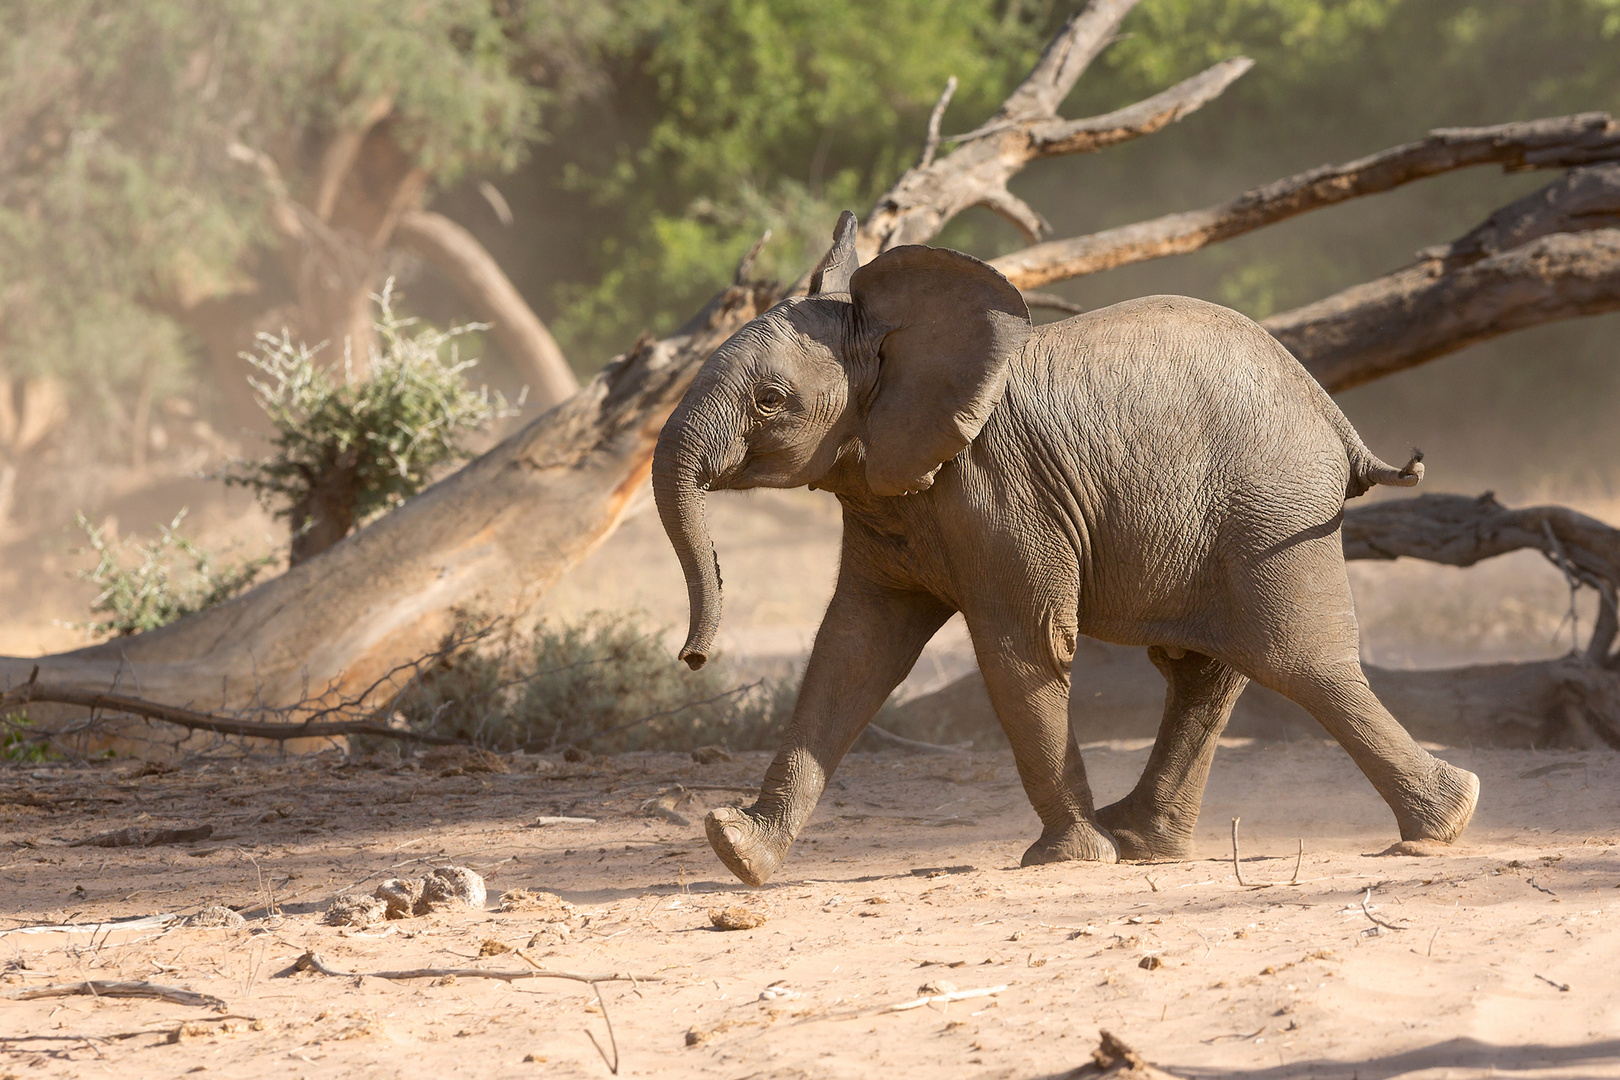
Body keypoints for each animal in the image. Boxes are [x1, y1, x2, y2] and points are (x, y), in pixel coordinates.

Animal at [654, 213, 1483, 887]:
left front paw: (1067, 859)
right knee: (1208, 670)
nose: (691, 659)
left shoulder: (1003, 489)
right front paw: (738, 849)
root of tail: (1336, 418)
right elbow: (853, 649)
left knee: (1297, 661)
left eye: (769, 401)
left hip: (1273, 507)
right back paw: (1144, 840)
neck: (897, 338)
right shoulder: (889, 489)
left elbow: (1021, 647)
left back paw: (1446, 820)